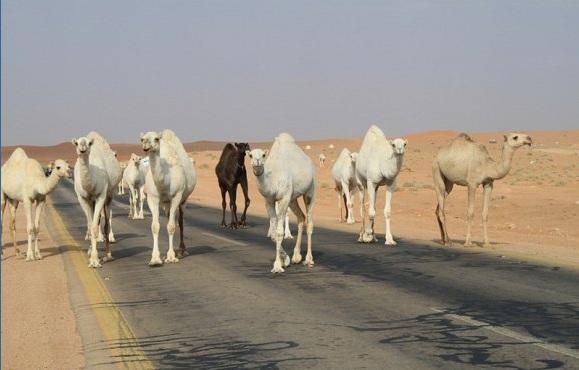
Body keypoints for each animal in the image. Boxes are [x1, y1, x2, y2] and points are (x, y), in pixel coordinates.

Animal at [72, 132, 122, 268]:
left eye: (89, 143)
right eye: (76, 143)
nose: (82, 148)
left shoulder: (101, 195)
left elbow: (95, 228)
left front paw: (94, 260)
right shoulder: (83, 199)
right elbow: (90, 226)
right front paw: (91, 255)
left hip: (109, 194)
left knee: (106, 224)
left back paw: (108, 255)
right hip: (92, 201)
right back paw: (91, 250)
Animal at [140, 129, 197, 264]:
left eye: (156, 139)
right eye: (142, 139)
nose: (146, 146)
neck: (166, 180)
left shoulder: (177, 196)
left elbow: (171, 226)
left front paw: (171, 257)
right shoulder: (152, 198)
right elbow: (155, 226)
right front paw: (155, 259)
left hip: (183, 200)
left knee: (180, 221)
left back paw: (181, 251)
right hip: (166, 203)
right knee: (167, 218)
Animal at [246, 132, 318, 272]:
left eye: (263, 155)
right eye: (250, 155)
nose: (257, 163)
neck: (273, 179)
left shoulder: (284, 198)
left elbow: (279, 233)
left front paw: (278, 266)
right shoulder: (269, 200)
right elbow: (273, 234)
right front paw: (286, 260)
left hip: (310, 191)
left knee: (310, 222)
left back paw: (308, 259)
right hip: (293, 198)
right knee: (301, 218)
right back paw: (296, 256)